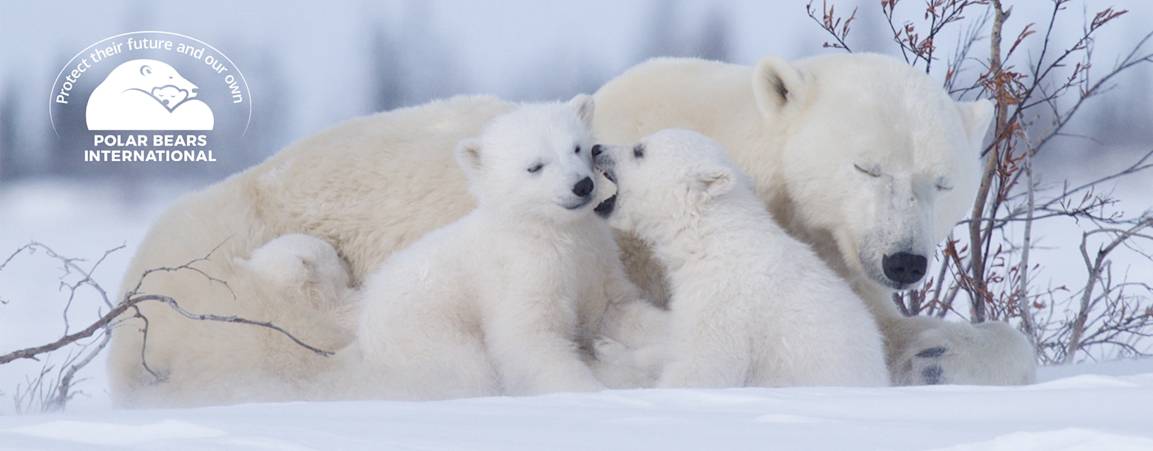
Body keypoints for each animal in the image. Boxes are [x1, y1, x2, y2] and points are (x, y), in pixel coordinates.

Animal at [339, 96, 661, 400]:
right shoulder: (521, 272)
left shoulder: (594, 260)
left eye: (578, 148)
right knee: (466, 369)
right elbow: (528, 339)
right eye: (535, 166)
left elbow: (614, 309)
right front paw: (588, 391)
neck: (548, 230)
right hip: (424, 334)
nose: (582, 185)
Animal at [590, 129, 888, 387]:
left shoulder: (724, 301)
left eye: (639, 150)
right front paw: (608, 347)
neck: (712, 238)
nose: (596, 149)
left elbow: (705, 366)